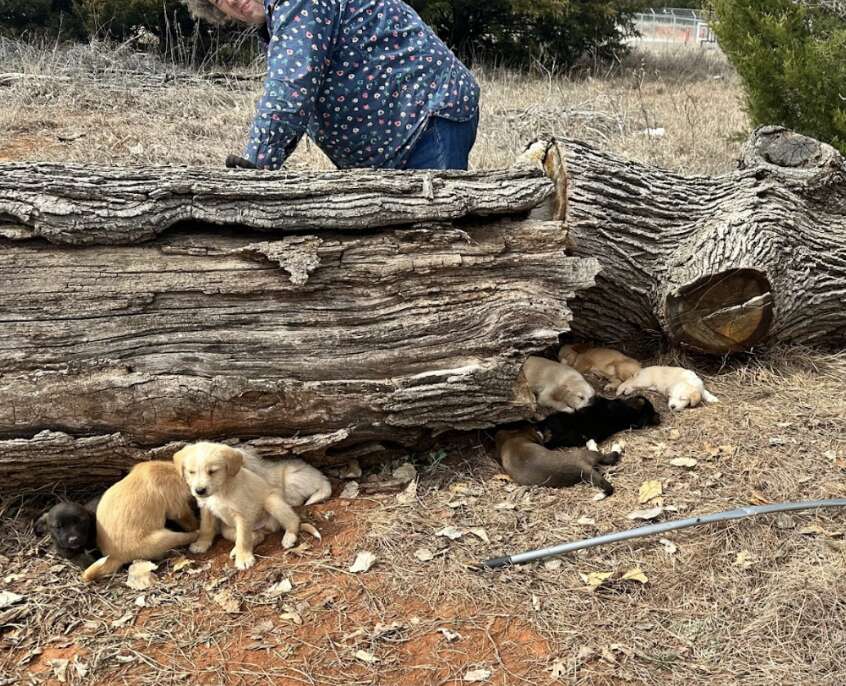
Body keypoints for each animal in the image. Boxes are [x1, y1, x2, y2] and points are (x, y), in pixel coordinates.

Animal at [174, 444, 330, 572]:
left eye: (212, 471)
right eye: (191, 472)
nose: (199, 491)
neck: (221, 490)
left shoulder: (242, 513)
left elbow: (243, 538)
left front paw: (244, 559)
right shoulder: (206, 509)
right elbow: (206, 528)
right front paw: (201, 544)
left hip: (272, 501)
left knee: (293, 519)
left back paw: (288, 537)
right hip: (228, 529)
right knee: (256, 536)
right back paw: (240, 548)